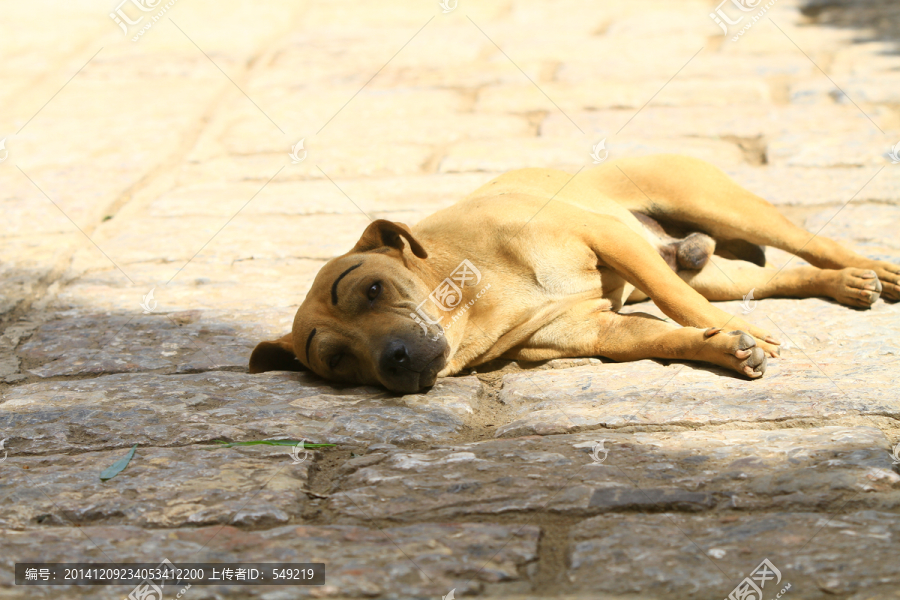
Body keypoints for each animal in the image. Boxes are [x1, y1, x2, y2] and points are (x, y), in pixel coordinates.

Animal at [248, 152, 900, 392]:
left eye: (372, 288)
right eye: (336, 360)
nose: (395, 361)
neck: (476, 304)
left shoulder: (607, 238)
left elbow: (675, 305)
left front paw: (742, 337)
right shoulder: (599, 331)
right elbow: (668, 334)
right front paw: (722, 347)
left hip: (722, 208)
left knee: (814, 243)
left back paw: (872, 269)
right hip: (717, 272)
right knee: (776, 277)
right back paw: (843, 285)